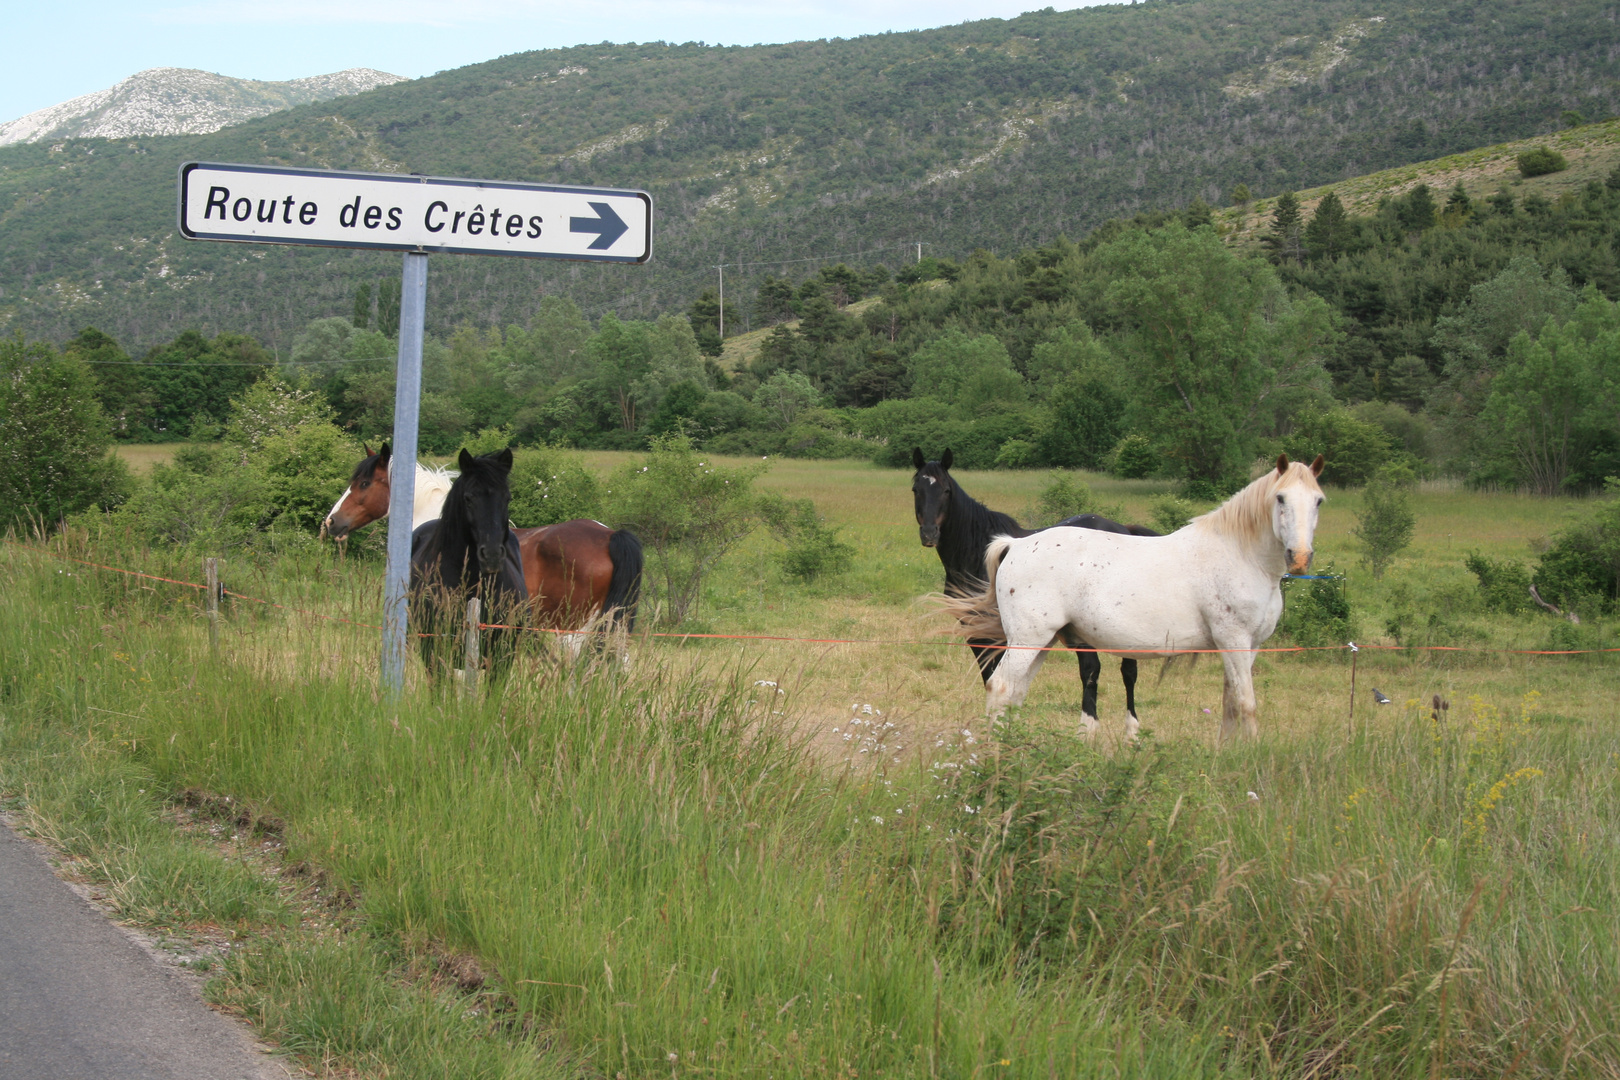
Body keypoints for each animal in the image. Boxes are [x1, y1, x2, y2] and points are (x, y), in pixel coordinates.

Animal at [952, 453, 1321, 744]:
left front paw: (1227, 754)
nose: (1300, 557)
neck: (1240, 554)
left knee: (1015, 693)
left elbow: (1231, 703)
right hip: (1029, 639)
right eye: (1281, 498)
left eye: (1318, 500)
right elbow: (1246, 703)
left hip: (1043, 642)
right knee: (1001, 687)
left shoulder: (1249, 646)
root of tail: (1016, 544)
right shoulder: (1234, 641)